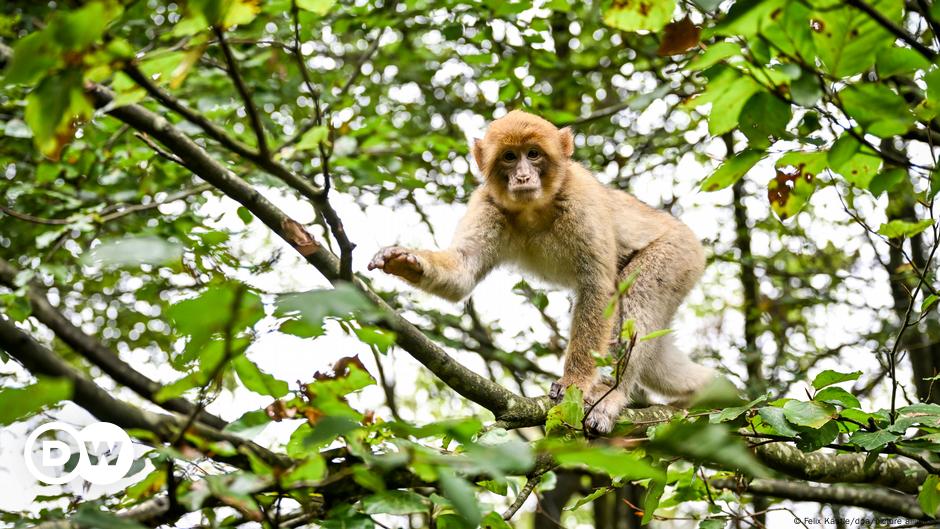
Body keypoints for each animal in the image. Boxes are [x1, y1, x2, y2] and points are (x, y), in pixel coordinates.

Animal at [368, 109, 712, 432]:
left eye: (533, 154)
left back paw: (612, 395)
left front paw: (575, 383)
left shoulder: (581, 199)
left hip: (677, 255)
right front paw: (405, 260)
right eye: (509, 157)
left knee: (636, 298)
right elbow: (462, 272)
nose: (522, 176)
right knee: (656, 357)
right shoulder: (487, 203)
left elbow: (598, 288)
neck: (534, 207)